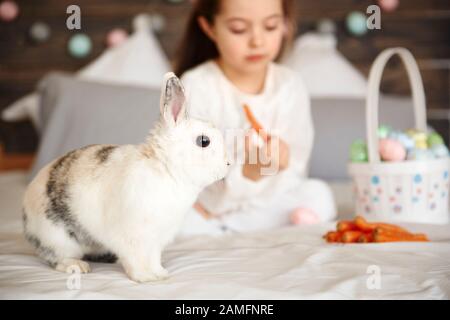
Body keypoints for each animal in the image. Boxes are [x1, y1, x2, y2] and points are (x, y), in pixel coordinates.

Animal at [22, 72, 229, 282]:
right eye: (203, 141)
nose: (228, 164)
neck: (163, 167)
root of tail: (25, 214)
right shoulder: (132, 237)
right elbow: (136, 259)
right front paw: (145, 278)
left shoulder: (156, 240)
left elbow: (153, 258)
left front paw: (160, 274)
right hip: (57, 238)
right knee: (57, 258)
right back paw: (77, 266)